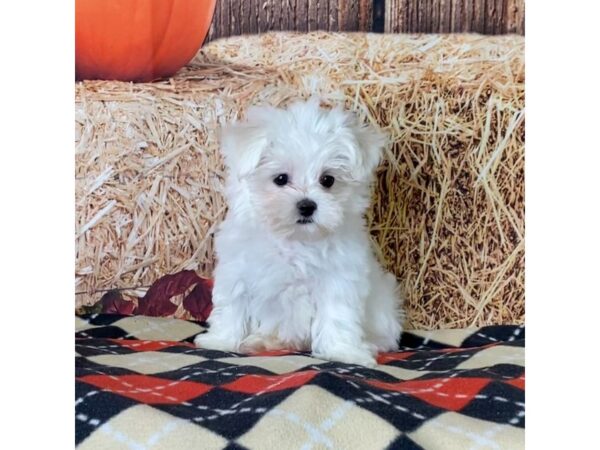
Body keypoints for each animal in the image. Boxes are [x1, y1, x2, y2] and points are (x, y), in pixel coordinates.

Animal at [196, 98, 404, 366]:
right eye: (280, 179)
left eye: (328, 180)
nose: (307, 206)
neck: (296, 240)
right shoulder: (237, 272)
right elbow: (232, 306)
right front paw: (220, 341)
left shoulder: (339, 279)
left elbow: (338, 316)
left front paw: (344, 352)